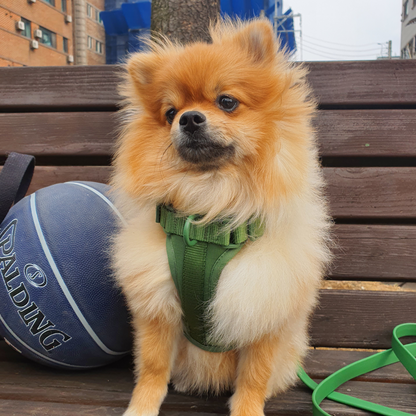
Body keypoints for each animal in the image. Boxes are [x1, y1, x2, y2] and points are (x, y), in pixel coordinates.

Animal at [110, 17, 332, 416]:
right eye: (170, 112)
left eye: (227, 102)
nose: (189, 119)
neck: (210, 207)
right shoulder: (156, 303)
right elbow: (152, 367)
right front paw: (141, 406)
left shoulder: (263, 302)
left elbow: (254, 376)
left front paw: (248, 409)